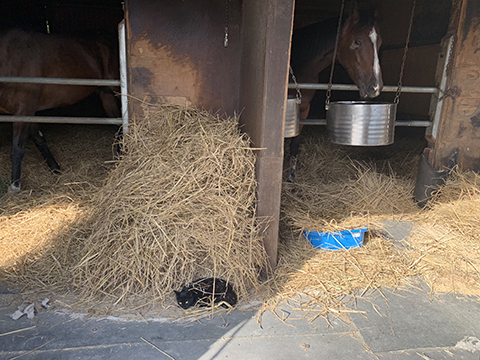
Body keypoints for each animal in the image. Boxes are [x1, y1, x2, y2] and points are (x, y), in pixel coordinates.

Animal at [0, 28, 120, 194]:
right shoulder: (29, 113)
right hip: (106, 95)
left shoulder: (23, 112)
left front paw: (15, 186)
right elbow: (39, 139)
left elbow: (18, 149)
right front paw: (55, 168)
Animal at [288, 7, 382, 183]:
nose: (376, 87)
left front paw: (291, 177)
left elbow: (295, 143)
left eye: (379, 44)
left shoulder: (303, 108)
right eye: (357, 42)